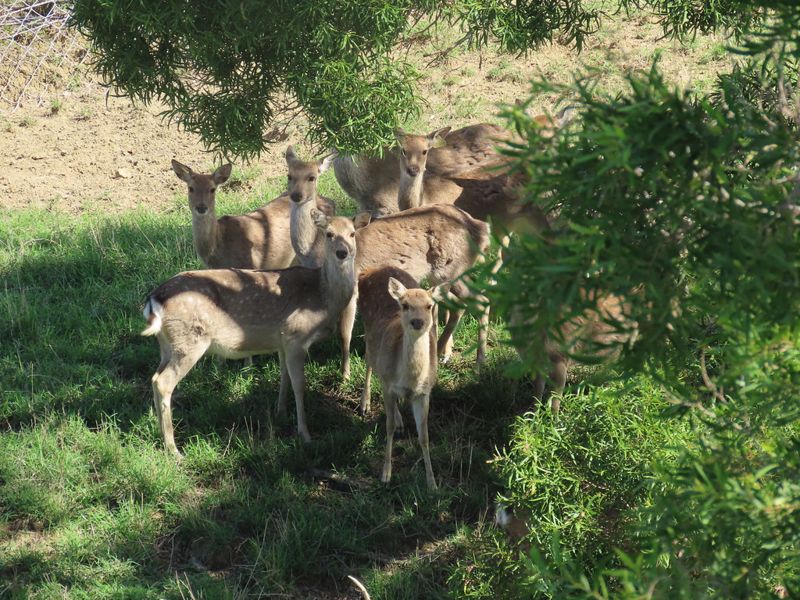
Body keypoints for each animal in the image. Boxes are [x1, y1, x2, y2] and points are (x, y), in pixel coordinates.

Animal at [140, 212, 362, 455]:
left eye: (352, 233)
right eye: (329, 234)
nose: (342, 253)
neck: (324, 298)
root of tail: (153, 300)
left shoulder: (282, 340)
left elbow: (284, 377)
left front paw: (280, 412)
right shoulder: (296, 335)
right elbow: (299, 385)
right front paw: (305, 435)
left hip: (167, 344)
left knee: (154, 378)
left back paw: (160, 434)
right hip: (189, 340)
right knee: (163, 383)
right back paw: (174, 450)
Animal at [358, 266, 440, 489]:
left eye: (429, 306)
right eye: (404, 305)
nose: (417, 322)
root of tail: (370, 271)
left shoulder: (425, 393)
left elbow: (424, 436)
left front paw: (432, 482)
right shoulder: (388, 385)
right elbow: (388, 427)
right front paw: (386, 474)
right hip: (369, 331)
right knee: (369, 360)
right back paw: (365, 403)